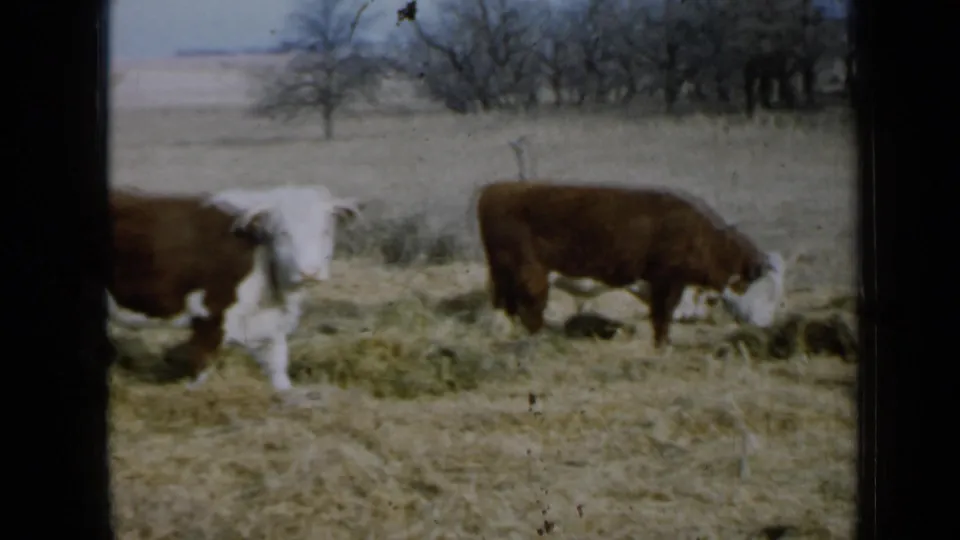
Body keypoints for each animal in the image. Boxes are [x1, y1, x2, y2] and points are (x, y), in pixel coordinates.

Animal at [108, 188, 308, 391]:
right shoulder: (209, 315)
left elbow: (278, 369)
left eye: (319, 230)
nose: (309, 272)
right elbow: (202, 367)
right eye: (283, 233)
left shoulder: (268, 325)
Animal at [476, 181, 786, 349]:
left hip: (506, 275)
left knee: (507, 309)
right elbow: (662, 316)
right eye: (764, 290)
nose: (765, 324)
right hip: (530, 273)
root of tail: (499, 188)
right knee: (530, 311)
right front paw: (661, 346)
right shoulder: (666, 281)